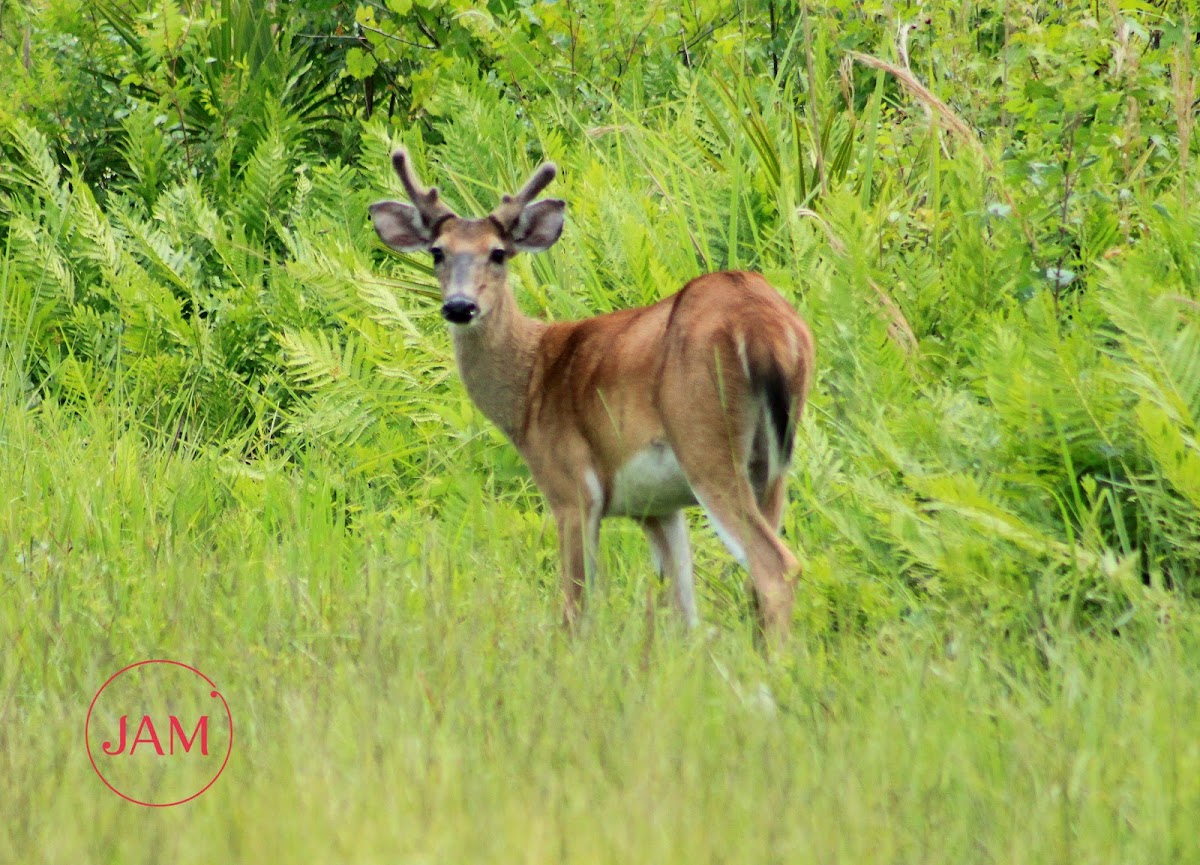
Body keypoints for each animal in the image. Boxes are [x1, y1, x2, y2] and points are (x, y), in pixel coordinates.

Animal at [367, 149, 816, 643]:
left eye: (498, 253)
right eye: (437, 252)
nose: (460, 306)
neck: (532, 384)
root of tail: (765, 327)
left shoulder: (571, 488)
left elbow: (574, 609)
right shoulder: (656, 506)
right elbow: (684, 613)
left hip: (705, 443)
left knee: (776, 568)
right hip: (772, 465)